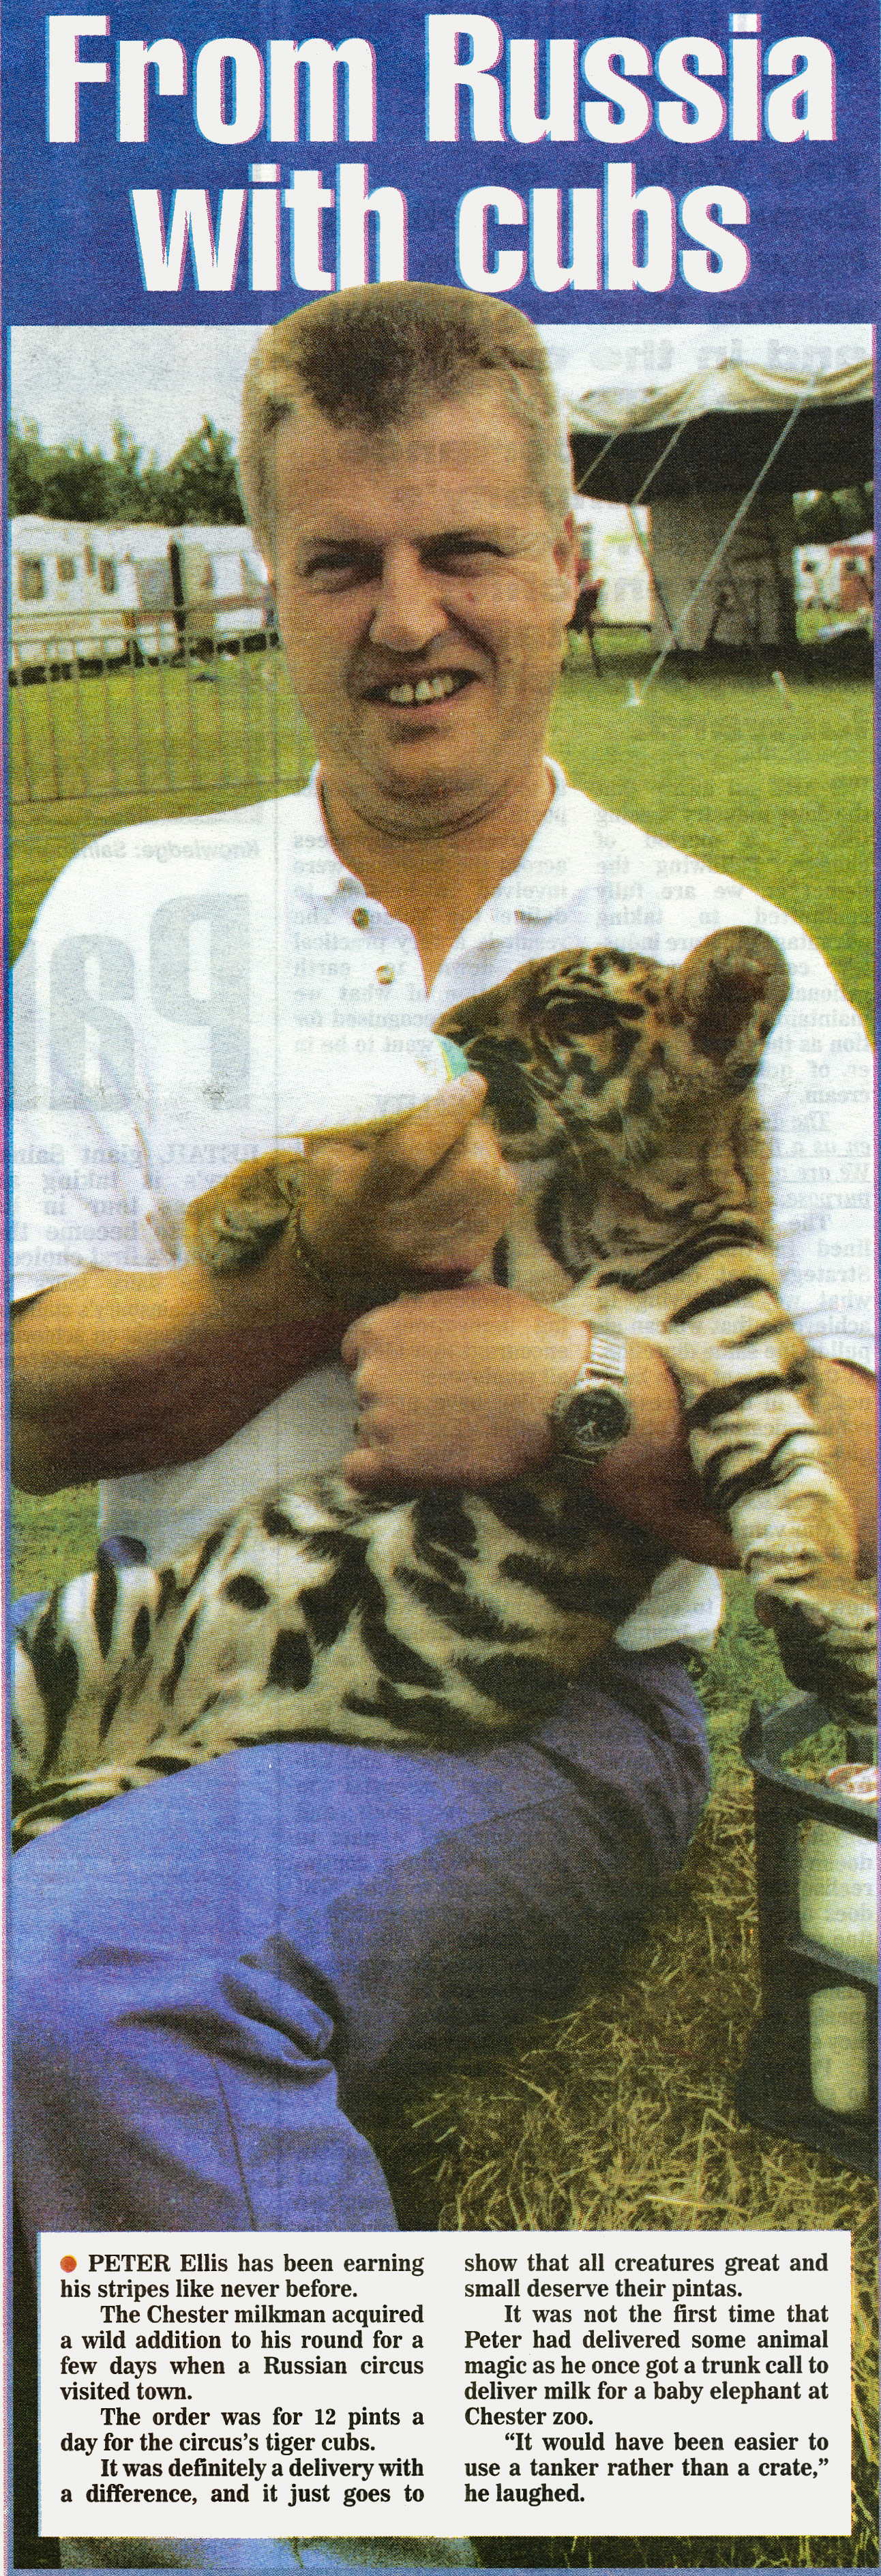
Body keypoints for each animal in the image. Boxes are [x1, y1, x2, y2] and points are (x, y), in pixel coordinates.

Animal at [13, 925, 876, 1849]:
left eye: (568, 1010)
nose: (448, 1027)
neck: (613, 1199)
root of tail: (179, 1714)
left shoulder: (747, 1379)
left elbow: (799, 1500)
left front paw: (835, 1624)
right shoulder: (439, 1272)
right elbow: (315, 1165)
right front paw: (231, 1209)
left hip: (100, 1776)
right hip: (82, 1625)